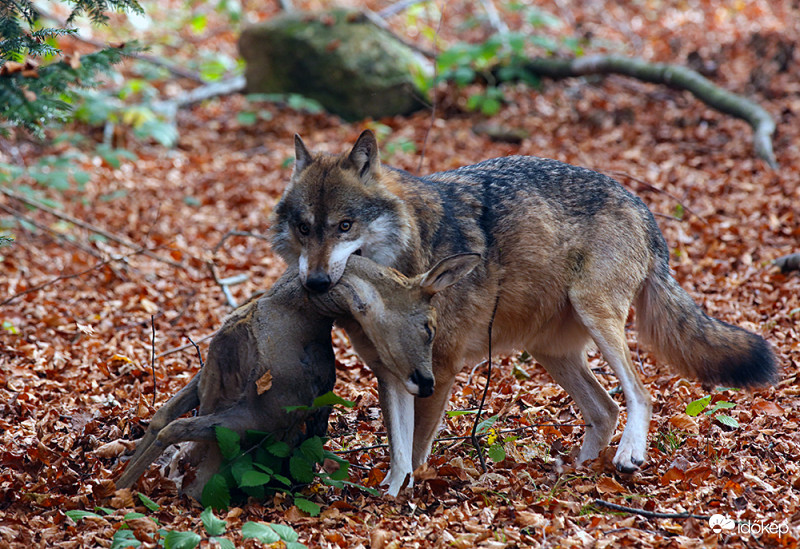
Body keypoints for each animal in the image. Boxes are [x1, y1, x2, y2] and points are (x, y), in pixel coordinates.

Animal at [112, 253, 476, 496]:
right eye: (429, 327)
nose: (427, 383)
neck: (295, 308)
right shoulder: (265, 401)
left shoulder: (228, 388)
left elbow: (164, 418)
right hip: (254, 411)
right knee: (174, 430)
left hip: (234, 403)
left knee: (171, 429)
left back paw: (120, 488)